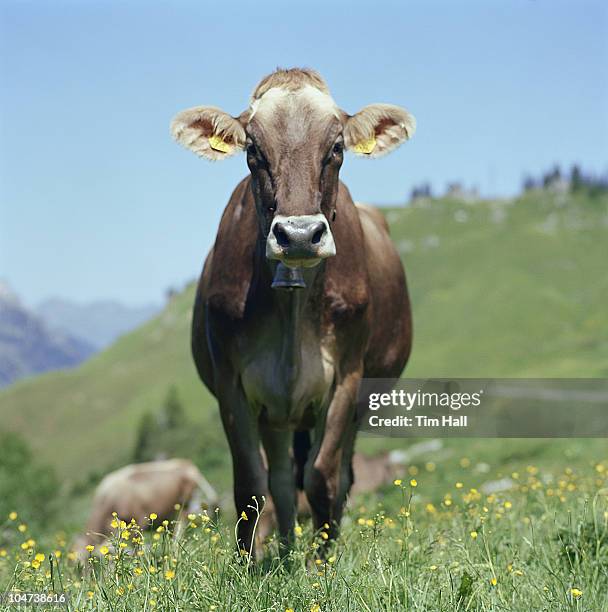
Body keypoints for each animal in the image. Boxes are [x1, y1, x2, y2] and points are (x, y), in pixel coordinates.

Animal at [171, 67, 414, 556]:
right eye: (253, 150)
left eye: (337, 148)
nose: (299, 235)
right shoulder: (232, 383)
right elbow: (251, 485)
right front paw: (249, 566)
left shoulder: (347, 377)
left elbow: (322, 480)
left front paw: (323, 563)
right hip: (277, 412)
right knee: (283, 482)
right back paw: (284, 550)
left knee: (338, 476)